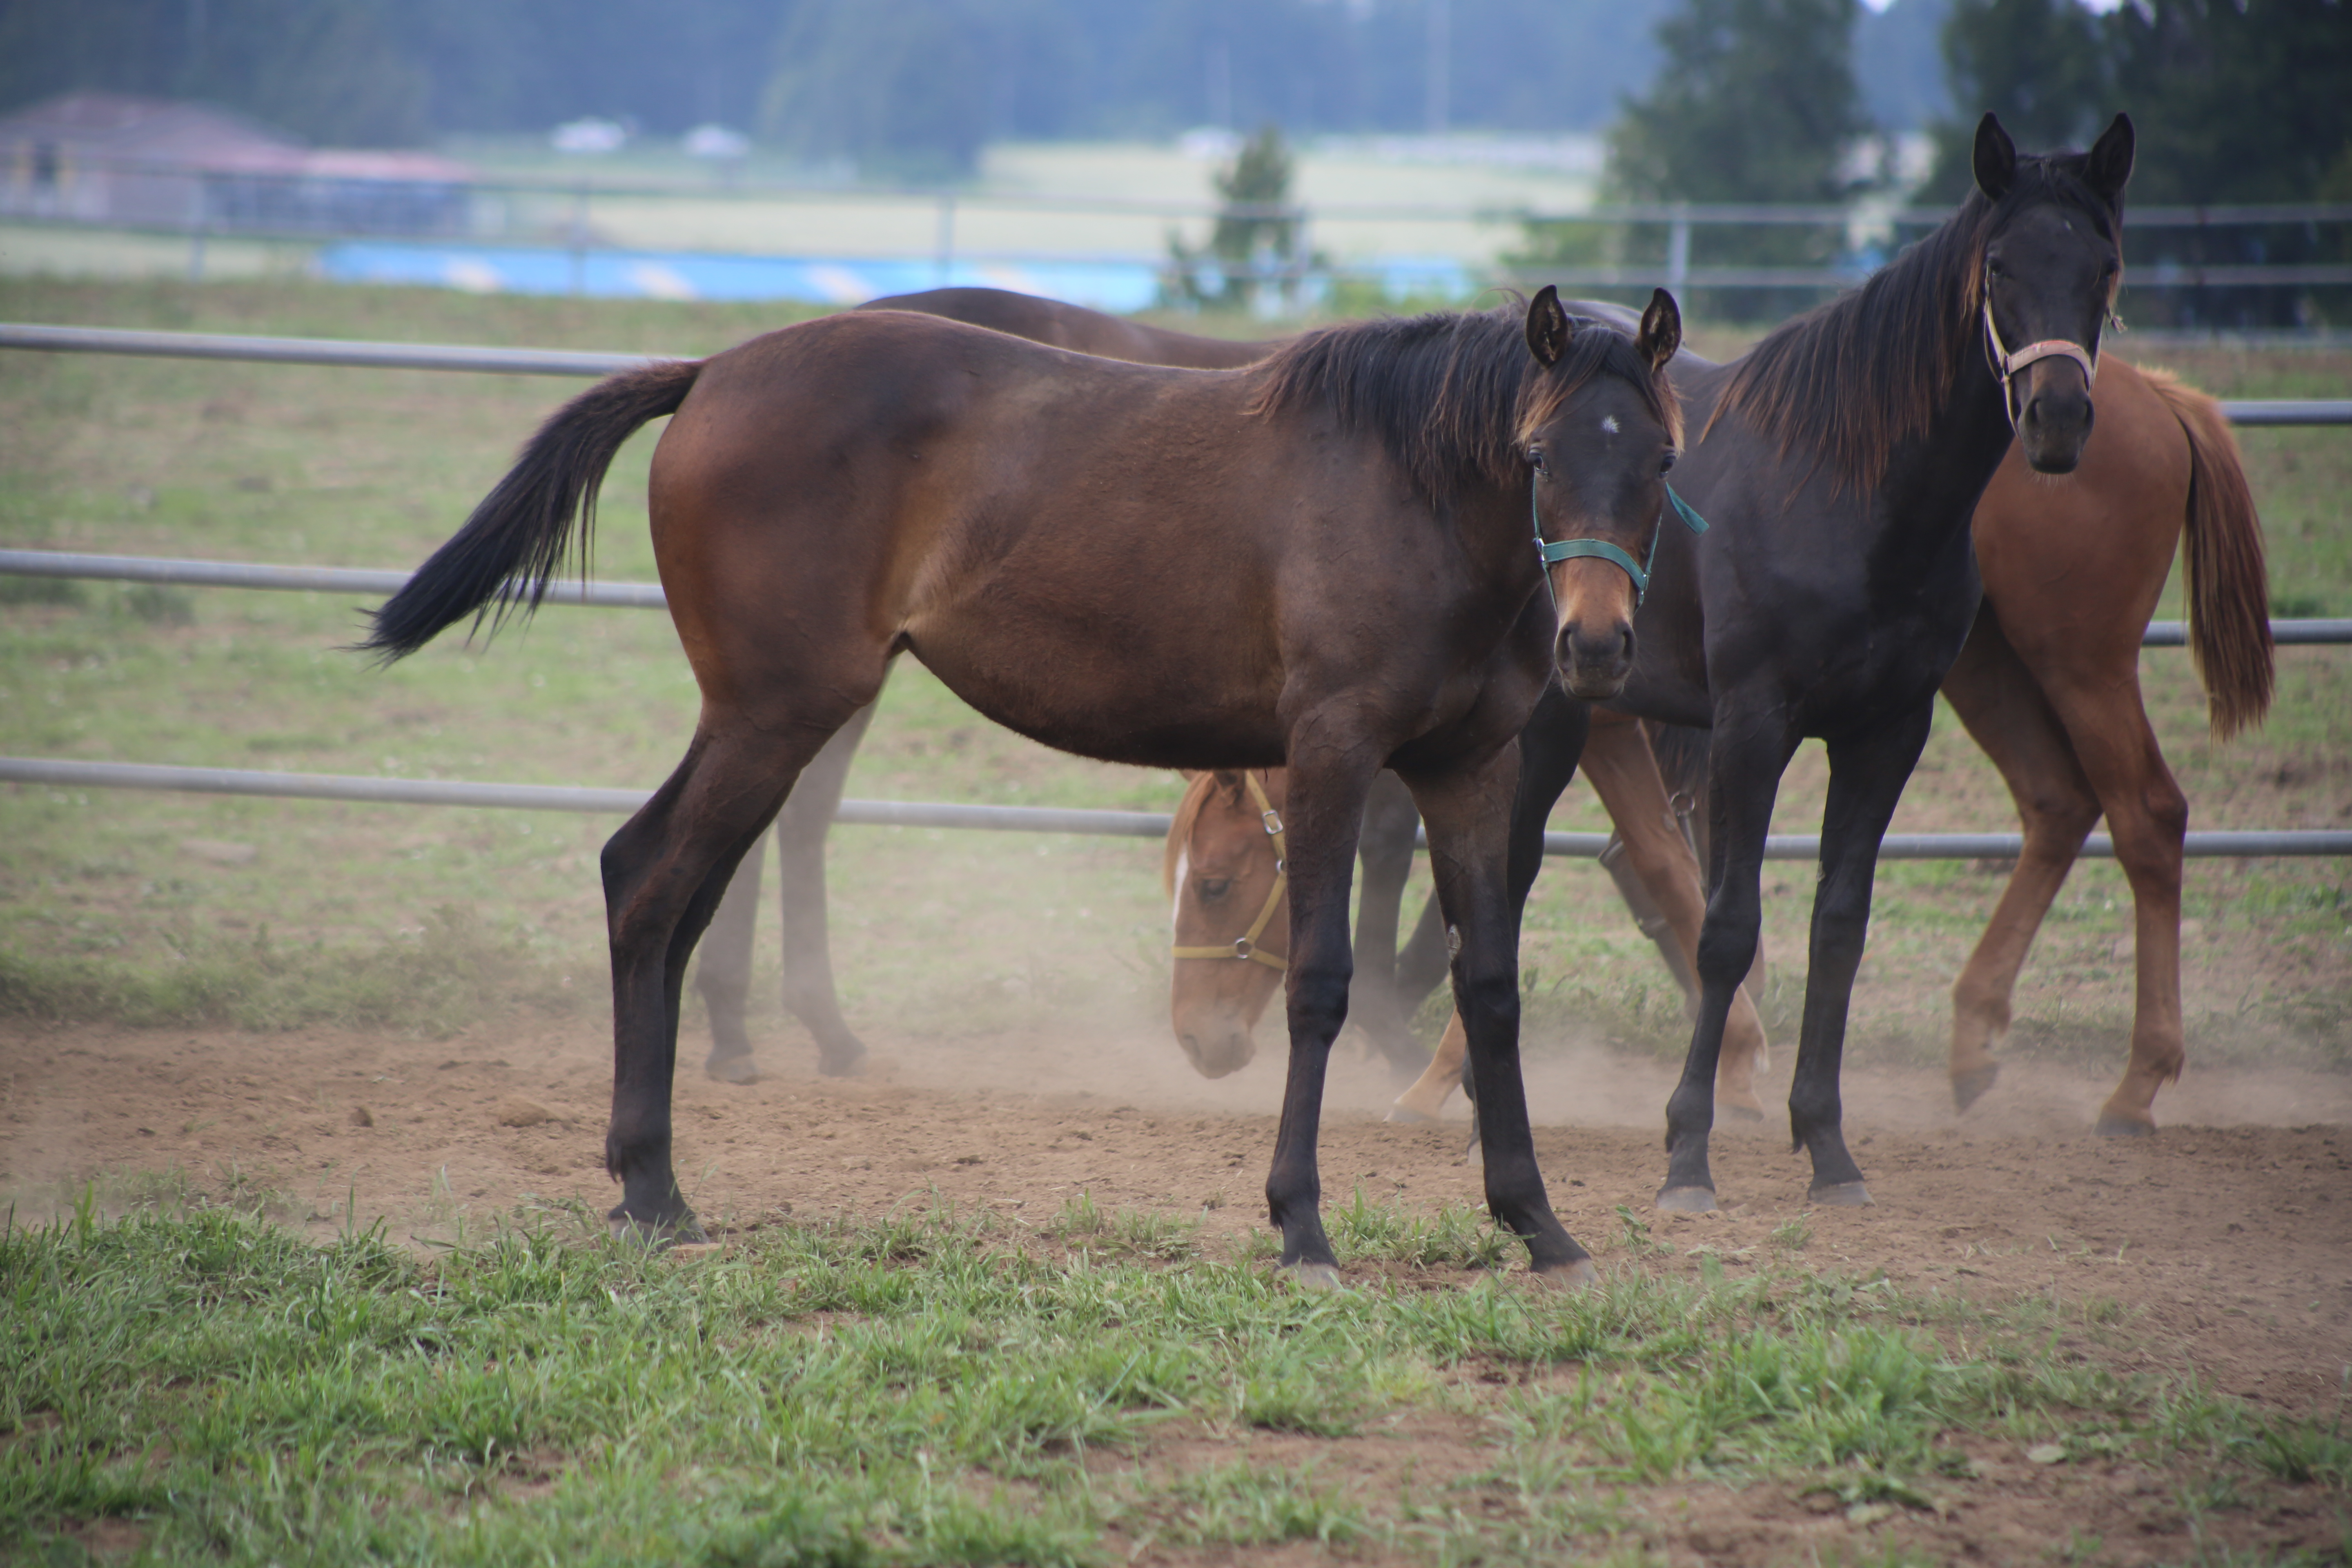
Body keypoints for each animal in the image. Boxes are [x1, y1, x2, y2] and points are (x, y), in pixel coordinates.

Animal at [362, 285, 1693, 1288]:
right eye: (1537, 453)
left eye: (1662, 456)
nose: (1597, 646)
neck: (1404, 489)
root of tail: (712, 373)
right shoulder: (1333, 752)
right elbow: (1319, 985)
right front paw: (1302, 1225)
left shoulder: (1467, 771)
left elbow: (1491, 986)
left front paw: (1537, 1222)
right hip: (770, 716)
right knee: (648, 885)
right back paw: (651, 1185)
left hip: (764, 721)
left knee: (661, 891)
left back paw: (656, 1177)